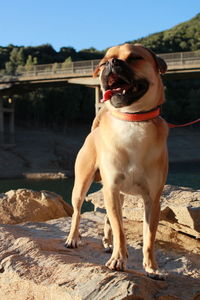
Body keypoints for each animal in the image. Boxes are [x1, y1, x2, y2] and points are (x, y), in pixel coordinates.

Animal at [66, 44, 169, 278]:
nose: (112, 63)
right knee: (77, 212)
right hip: (82, 186)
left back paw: (107, 242)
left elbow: (149, 237)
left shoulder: (152, 200)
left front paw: (152, 267)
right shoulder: (111, 190)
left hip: (117, 195)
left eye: (135, 58)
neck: (132, 120)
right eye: (104, 62)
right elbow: (120, 230)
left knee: (108, 220)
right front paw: (118, 260)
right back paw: (73, 239)